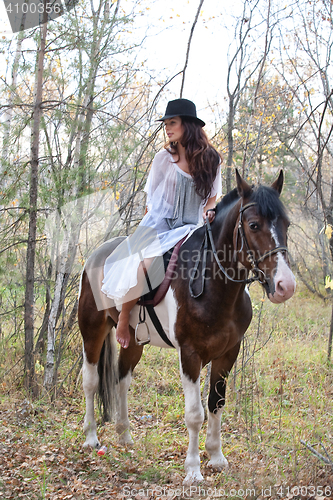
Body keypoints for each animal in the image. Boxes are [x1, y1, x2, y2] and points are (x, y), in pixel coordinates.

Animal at [78, 169, 296, 484]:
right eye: (254, 225)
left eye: (286, 224)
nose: (285, 285)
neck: (213, 281)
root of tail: (96, 255)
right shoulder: (190, 354)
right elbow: (195, 413)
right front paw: (193, 470)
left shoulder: (228, 353)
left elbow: (216, 403)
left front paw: (216, 457)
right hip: (92, 331)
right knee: (91, 381)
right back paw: (91, 437)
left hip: (133, 341)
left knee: (122, 380)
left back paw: (124, 435)